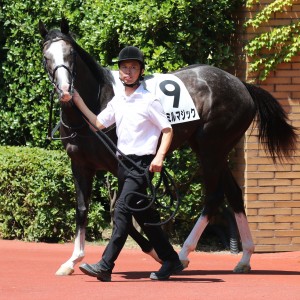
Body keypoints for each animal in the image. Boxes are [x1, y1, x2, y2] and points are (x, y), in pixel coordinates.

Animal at [38, 19, 296, 276]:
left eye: (71, 53)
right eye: (45, 56)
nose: (65, 90)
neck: (96, 105)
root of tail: (241, 84)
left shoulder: (123, 167)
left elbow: (126, 210)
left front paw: (156, 252)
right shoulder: (81, 165)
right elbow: (83, 208)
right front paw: (72, 261)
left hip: (211, 149)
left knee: (213, 197)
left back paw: (183, 255)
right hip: (213, 150)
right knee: (233, 193)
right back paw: (244, 258)